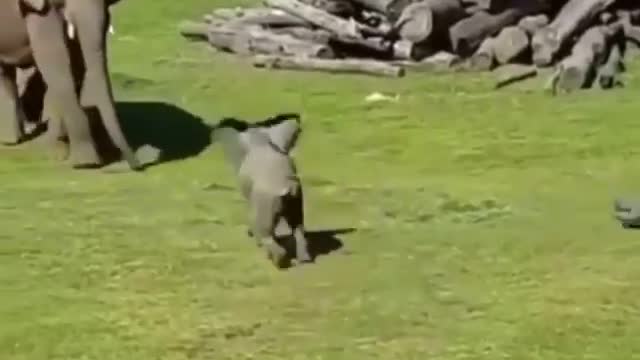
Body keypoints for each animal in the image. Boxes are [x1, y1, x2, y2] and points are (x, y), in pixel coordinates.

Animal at [214, 116, 312, 268]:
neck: (261, 141)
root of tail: (286, 187)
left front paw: (252, 236)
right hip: (296, 197)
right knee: (298, 228)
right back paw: (304, 260)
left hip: (267, 200)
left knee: (267, 232)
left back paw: (277, 261)